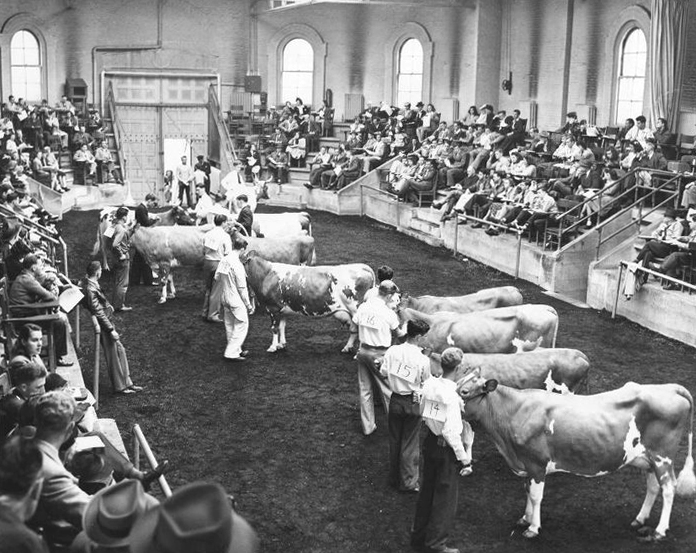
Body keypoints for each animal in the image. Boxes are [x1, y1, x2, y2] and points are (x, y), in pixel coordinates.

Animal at [130, 223, 318, 302]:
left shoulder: (164, 262)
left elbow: (163, 280)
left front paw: (162, 298)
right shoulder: (168, 264)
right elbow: (169, 279)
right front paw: (172, 294)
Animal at [242, 251, 378, 352]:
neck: (266, 275)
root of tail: (363, 266)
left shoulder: (272, 308)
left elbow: (274, 328)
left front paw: (273, 347)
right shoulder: (282, 309)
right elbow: (282, 327)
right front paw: (282, 344)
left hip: (356, 309)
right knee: (354, 330)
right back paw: (347, 347)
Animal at [456, 368, 696, 540]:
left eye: (464, 392)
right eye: (458, 383)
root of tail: (670, 388)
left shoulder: (536, 463)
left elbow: (535, 496)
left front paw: (533, 527)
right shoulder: (526, 463)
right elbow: (527, 491)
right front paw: (525, 518)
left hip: (663, 456)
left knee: (668, 488)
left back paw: (660, 530)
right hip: (648, 459)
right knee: (653, 487)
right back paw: (640, 519)